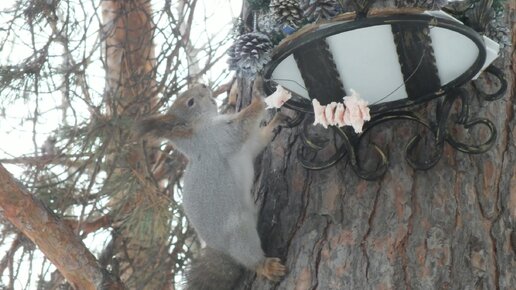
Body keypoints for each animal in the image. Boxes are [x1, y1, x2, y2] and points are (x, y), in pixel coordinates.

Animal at [135, 77, 288, 290]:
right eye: (190, 102)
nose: (203, 85)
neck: (199, 130)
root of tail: (225, 252)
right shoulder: (220, 136)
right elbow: (243, 125)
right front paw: (258, 90)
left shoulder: (243, 147)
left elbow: (258, 141)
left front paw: (275, 122)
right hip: (239, 231)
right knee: (249, 257)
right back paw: (266, 266)